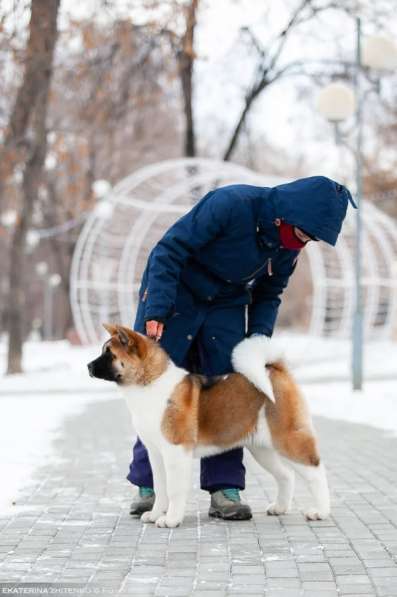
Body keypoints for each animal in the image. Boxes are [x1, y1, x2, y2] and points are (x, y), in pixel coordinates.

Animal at [87, 326, 328, 528]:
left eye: (109, 353)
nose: (88, 366)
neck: (150, 384)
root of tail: (275, 370)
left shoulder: (176, 452)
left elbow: (174, 489)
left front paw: (171, 520)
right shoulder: (156, 453)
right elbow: (161, 487)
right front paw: (156, 514)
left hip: (287, 438)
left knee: (316, 472)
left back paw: (321, 512)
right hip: (262, 449)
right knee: (286, 475)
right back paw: (280, 508)